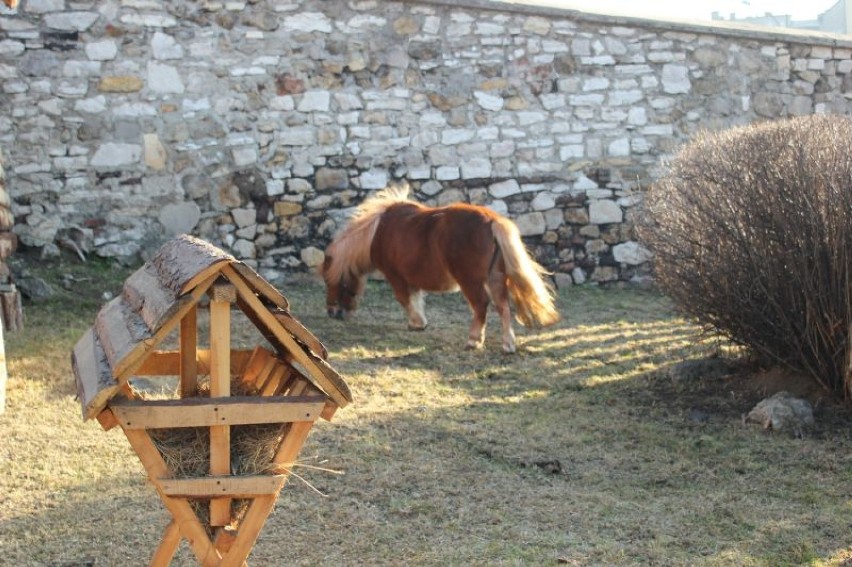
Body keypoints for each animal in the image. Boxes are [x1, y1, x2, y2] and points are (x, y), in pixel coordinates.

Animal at [320, 183, 560, 350]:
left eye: (330, 280)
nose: (332, 312)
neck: (377, 231)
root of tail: (491, 221)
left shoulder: (396, 277)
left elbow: (405, 299)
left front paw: (417, 323)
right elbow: (416, 298)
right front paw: (419, 322)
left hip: (470, 281)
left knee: (481, 305)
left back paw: (473, 341)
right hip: (495, 278)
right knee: (503, 306)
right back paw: (508, 344)